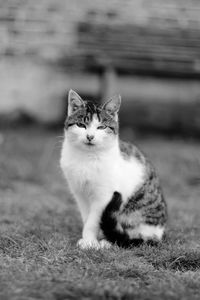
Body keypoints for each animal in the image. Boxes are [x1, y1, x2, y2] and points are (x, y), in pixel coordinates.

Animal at [59, 90, 167, 250]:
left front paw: (90, 242)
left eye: (101, 127)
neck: (87, 158)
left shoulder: (104, 196)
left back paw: (110, 241)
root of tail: (160, 233)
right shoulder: (80, 194)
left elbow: (93, 220)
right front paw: (90, 239)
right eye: (81, 125)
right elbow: (87, 217)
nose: (90, 136)